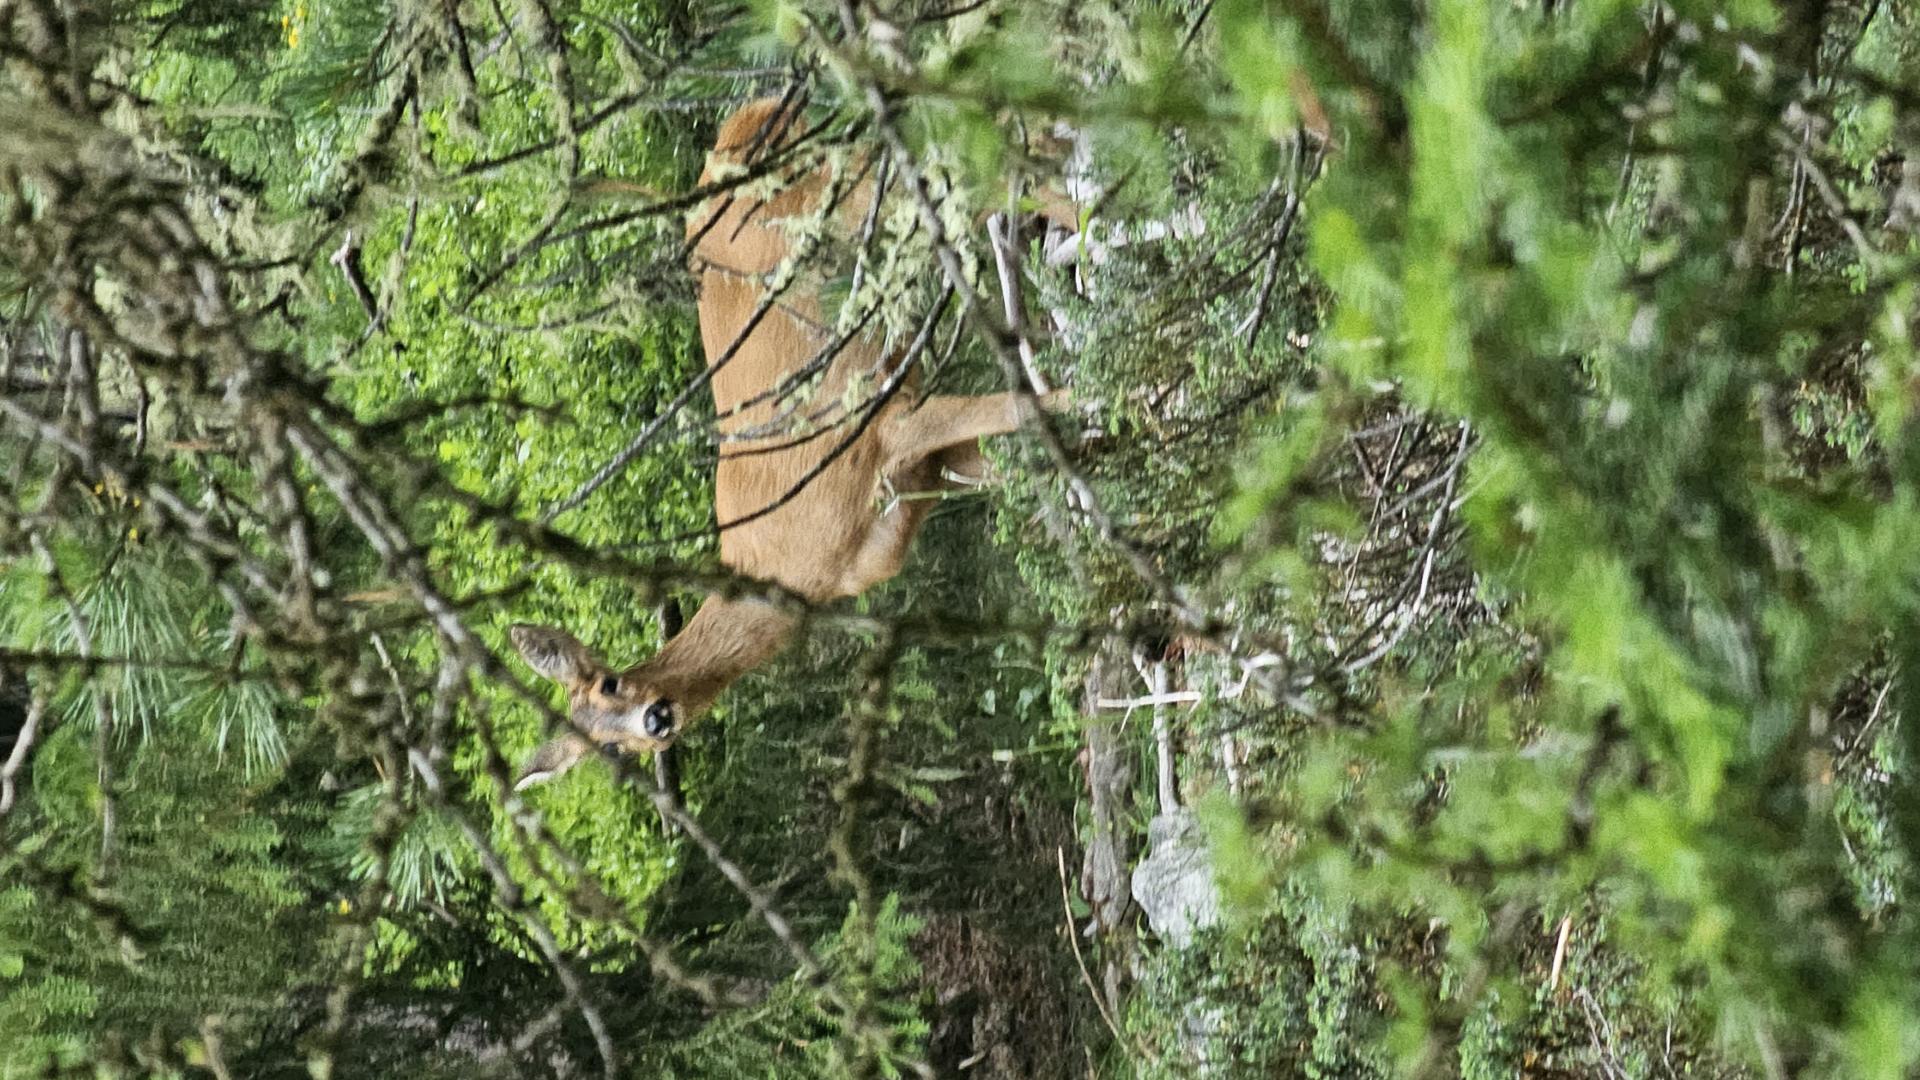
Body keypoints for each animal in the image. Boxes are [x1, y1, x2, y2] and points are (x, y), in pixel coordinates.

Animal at [518, 96, 1075, 787]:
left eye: (612, 684)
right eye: (609, 749)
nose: (657, 718)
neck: (797, 569)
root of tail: (734, 133)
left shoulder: (882, 425)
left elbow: (1026, 408)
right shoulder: (925, 473)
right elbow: (1021, 459)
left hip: (861, 198)